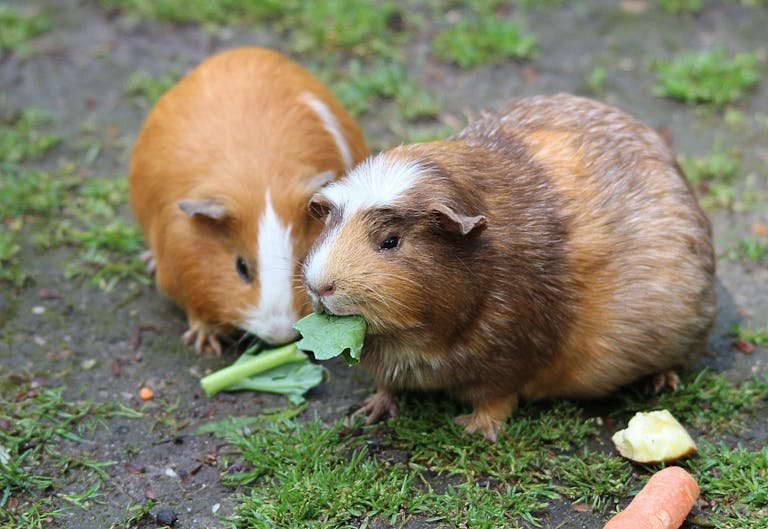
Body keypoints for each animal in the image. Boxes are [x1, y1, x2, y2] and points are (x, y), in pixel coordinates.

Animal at [129, 47, 369, 354]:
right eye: (241, 267)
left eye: (302, 260)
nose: (280, 334)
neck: (260, 182)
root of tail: (242, 51)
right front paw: (205, 342)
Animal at [302, 94, 716, 441]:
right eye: (330, 226)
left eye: (391, 241)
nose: (320, 286)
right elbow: (386, 385)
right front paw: (369, 412)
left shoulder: (507, 358)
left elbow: (496, 400)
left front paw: (473, 429)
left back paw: (661, 383)